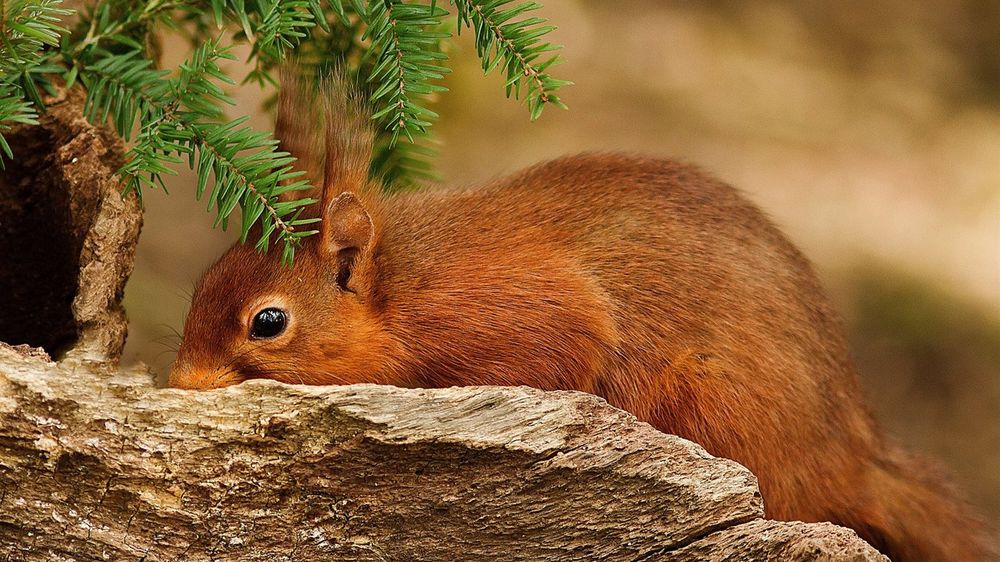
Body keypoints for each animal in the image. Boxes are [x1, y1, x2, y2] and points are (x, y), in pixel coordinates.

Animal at [169, 75, 995, 561]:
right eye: (203, 280)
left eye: (267, 323)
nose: (180, 381)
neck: (404, 288)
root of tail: (850, 453)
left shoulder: (518, 312)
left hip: (712, 406)